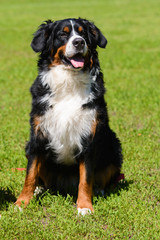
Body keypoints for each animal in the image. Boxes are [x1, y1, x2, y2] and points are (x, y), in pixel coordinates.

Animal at [15, 17, 122, 215]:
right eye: (62, 34)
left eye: (83, 33)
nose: (79, 42)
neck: (69, 82)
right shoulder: (38, 136)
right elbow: (30, 174)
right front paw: (22, 202)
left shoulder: (89, 137)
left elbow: (86, 178)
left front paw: (84, 206)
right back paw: (38, 190)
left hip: (113, 146)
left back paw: (98, 190)